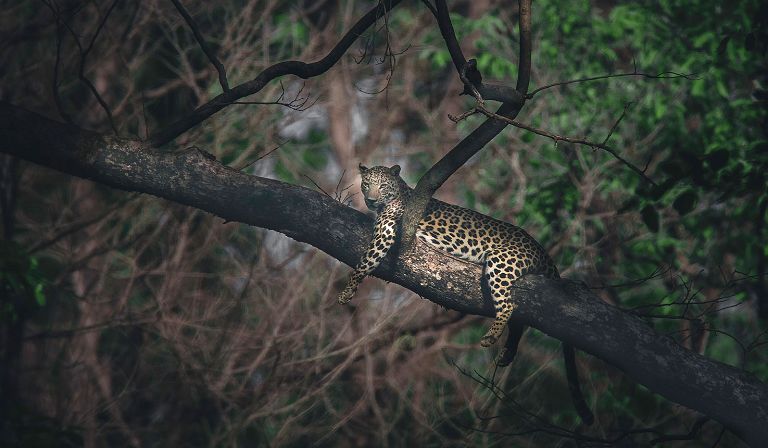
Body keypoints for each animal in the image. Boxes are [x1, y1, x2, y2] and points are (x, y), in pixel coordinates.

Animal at [337, 164, 594, 425]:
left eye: (382, 185)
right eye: (366, 184)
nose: (370, 200)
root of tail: (541, 249)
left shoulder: (385, 234)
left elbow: (364, 263)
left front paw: (347, 292)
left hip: (501, 263)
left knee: (508, 306)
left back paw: (491, 336)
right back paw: (507, 353)